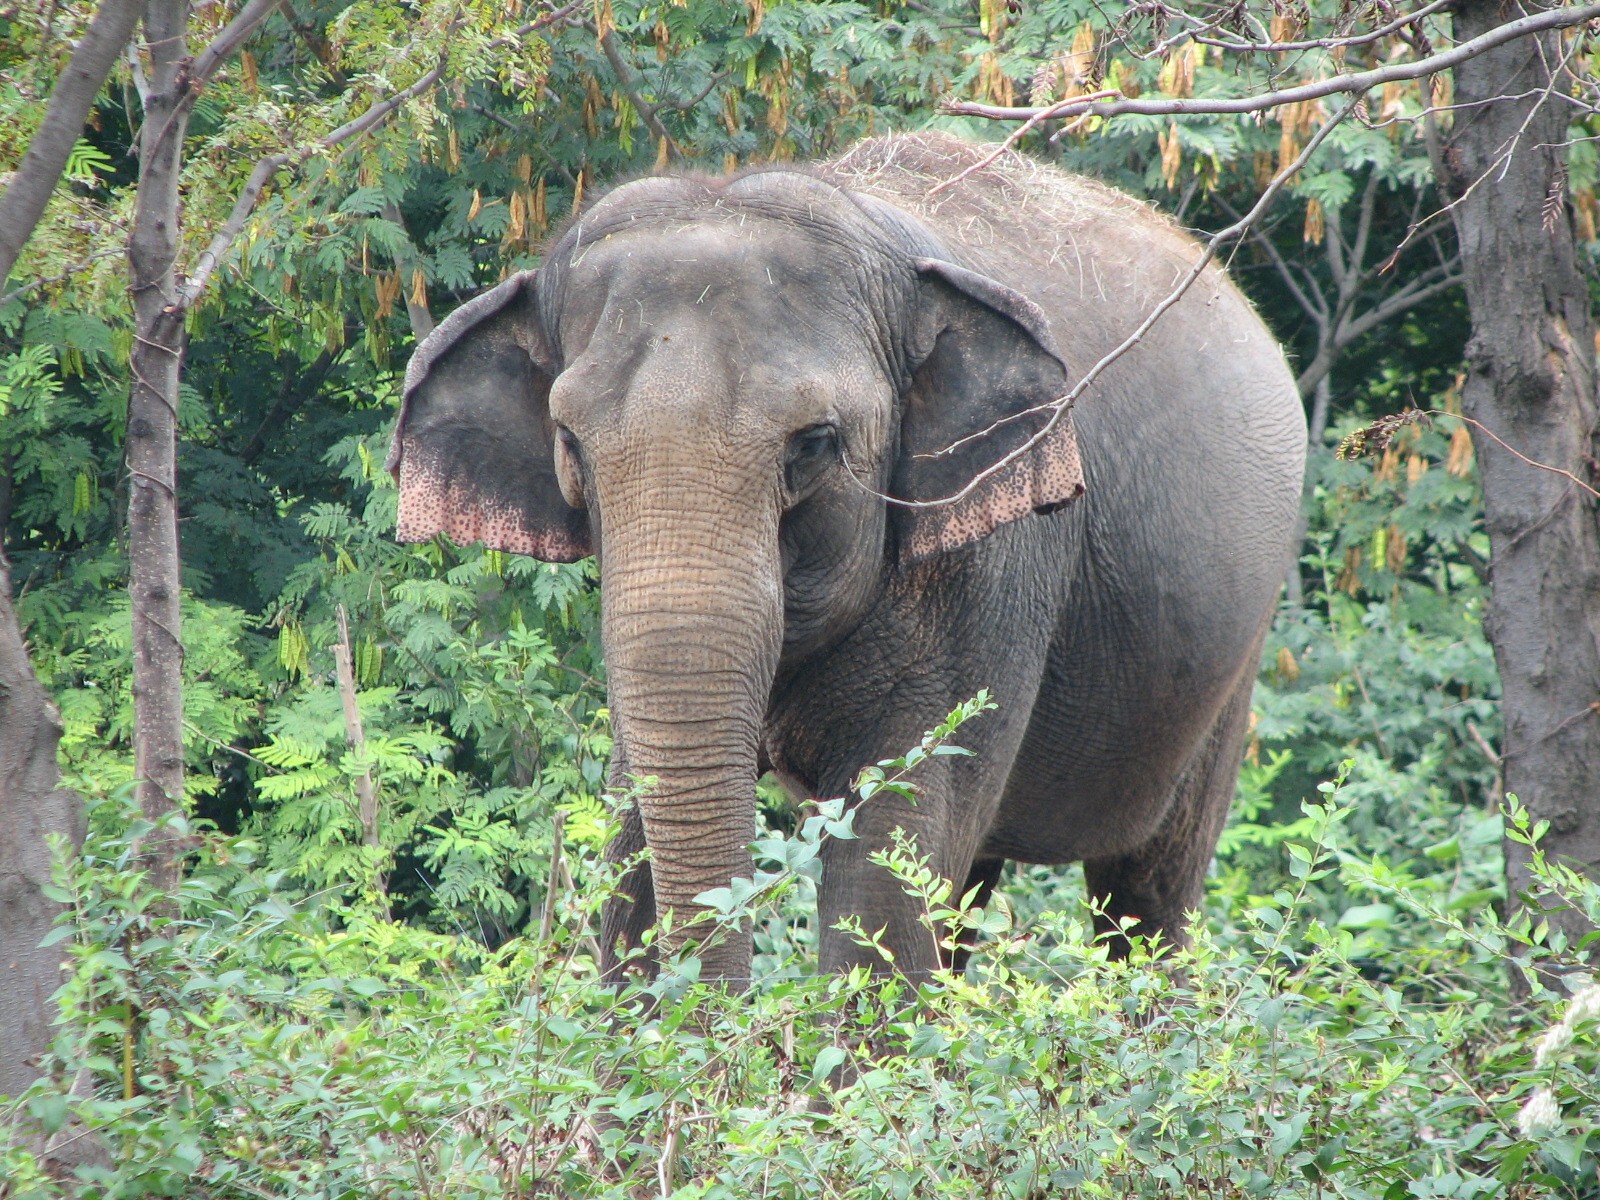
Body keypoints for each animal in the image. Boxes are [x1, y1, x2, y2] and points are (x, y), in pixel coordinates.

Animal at [387, 131, 1306, 984]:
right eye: (570, 443)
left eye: (816, 444)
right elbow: (634, 825)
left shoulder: (997, 559)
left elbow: (887, 857)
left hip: (1232, 655)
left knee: (1147, 893)